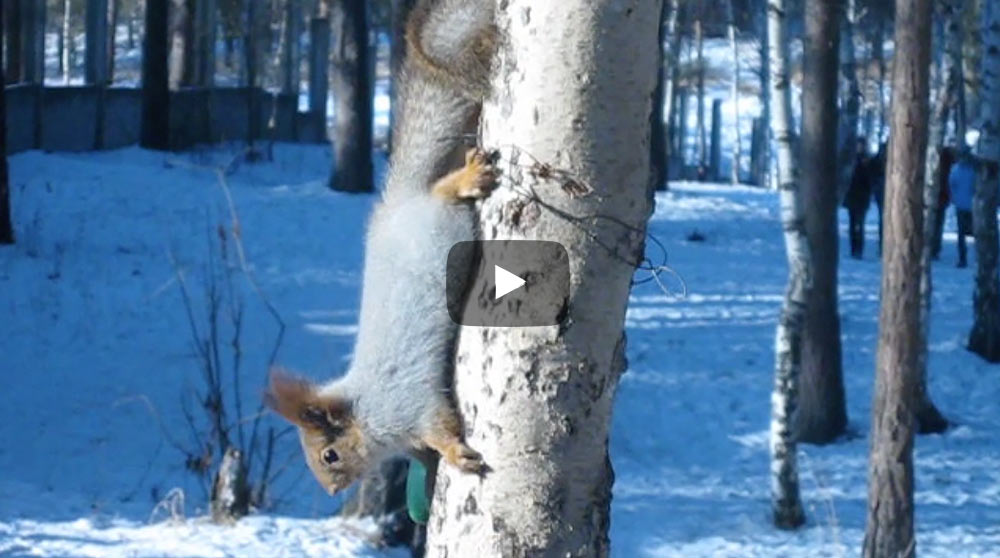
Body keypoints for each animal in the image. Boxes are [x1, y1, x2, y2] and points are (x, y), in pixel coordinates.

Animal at [265, 0, 497, 496]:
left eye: (329, 455)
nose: (333, 491)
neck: (365, 410)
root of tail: (397, 205)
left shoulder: (408, 403)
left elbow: (441, 426)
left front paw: (455, 453)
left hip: (440, 223)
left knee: (441, 192)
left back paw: (465, 179)